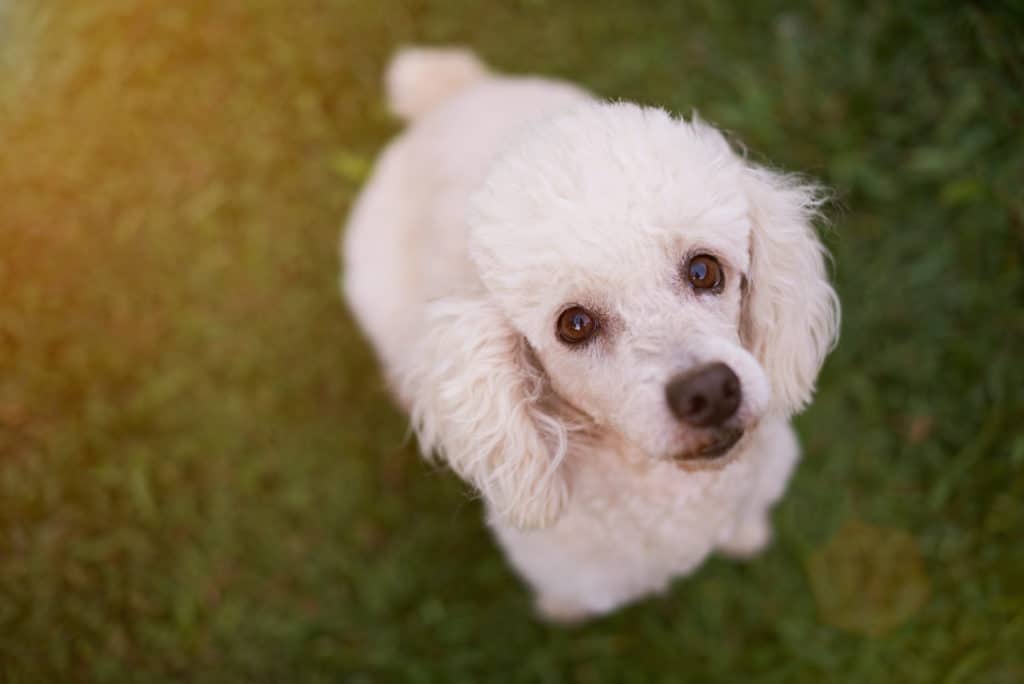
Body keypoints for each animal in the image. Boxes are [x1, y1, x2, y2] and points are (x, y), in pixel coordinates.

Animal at [344, 46, 839, 618]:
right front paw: (561, 612)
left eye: (704, 270)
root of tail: (449, 95)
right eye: (574, 325)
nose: (711, 391)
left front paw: (746, 538)